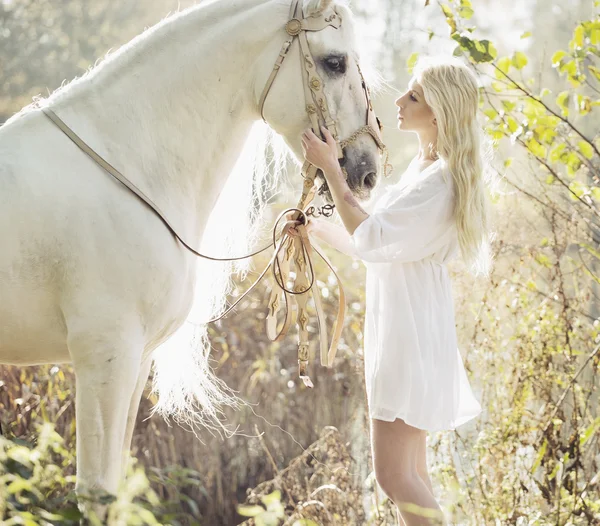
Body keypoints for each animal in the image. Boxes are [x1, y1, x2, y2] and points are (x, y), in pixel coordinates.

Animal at [0, 0, 382, 508]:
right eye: (335, 62)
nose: (369, 169)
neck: (130, 163)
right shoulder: (105, 355)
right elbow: (98, 491)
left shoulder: (136, 359)